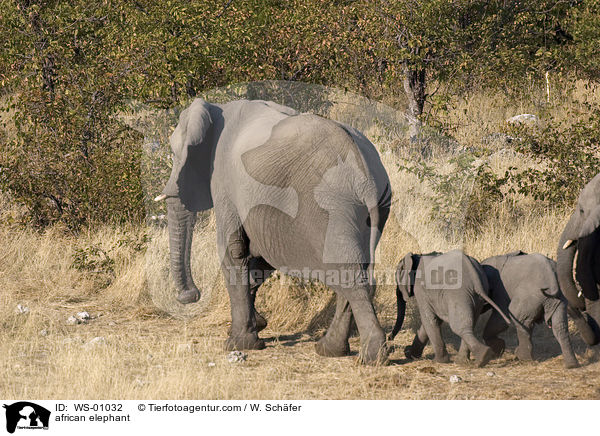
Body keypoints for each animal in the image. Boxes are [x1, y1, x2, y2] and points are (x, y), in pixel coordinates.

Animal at [155, 99, 392, 364]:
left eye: (174, 154)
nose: (190, 295)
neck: (216, 110)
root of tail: (366, 174)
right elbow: (259, 258)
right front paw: (257, 325)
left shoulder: (224, 181)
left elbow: (233, 250)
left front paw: (238, 344)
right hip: (374, 207)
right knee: (354, 268)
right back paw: (329, 350)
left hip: (333, 202)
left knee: (347, 270)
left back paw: (372, 356)